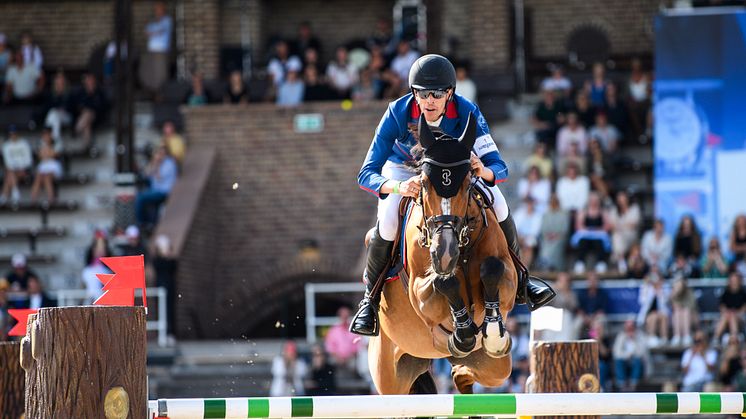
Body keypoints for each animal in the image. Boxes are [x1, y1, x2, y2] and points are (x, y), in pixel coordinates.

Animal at [368, 115, 516, 398]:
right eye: (425, 184)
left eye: (468, 183)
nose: (444, 254)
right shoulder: (420, 294)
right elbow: (443, 281)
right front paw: (463, 332)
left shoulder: (509, 279)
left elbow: (492, 268)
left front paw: (493, 333)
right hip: (390, 379)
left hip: (495, 367)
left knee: (472, 372)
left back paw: (463, 373)